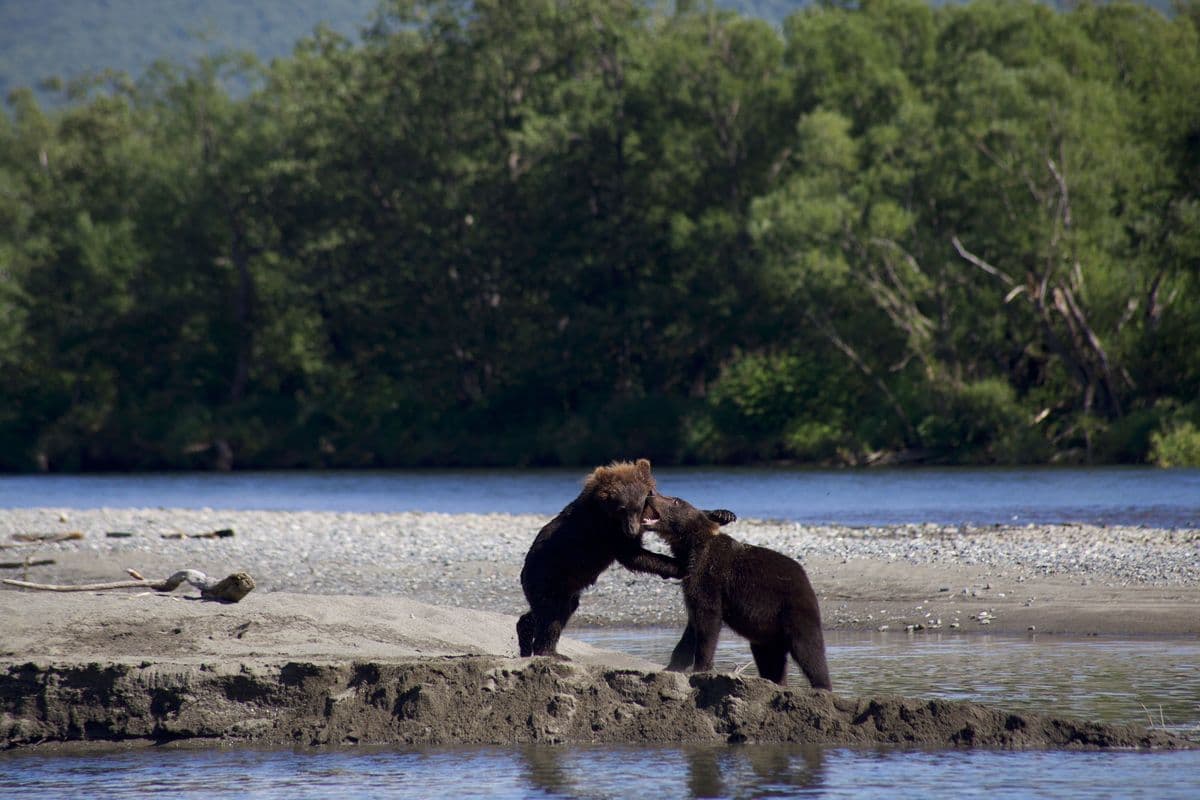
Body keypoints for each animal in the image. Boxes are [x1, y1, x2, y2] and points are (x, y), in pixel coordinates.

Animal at [517, 458, 682, 658]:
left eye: (638, 506)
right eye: (622, 509)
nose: (632, 530)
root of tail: (523, 572)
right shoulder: (607, 531)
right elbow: (633, 555)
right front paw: (677, 566)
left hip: (563, 587)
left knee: (550, 611)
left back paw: (525, 636)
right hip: (549, 578)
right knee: (552, 614)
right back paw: (551, 652)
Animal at [640, 493, 832, 689]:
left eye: (675, 500)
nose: (651, 495)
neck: (690, 547)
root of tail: (807, 580)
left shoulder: (710, 577)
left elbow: (708, 621)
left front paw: (700, 667)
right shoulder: (691, 580)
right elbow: (692, 627)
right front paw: (672, 666)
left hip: (791, 608)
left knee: (808, 649)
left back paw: (821, 686)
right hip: (767, 630)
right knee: (770, 659)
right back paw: (775, 681)